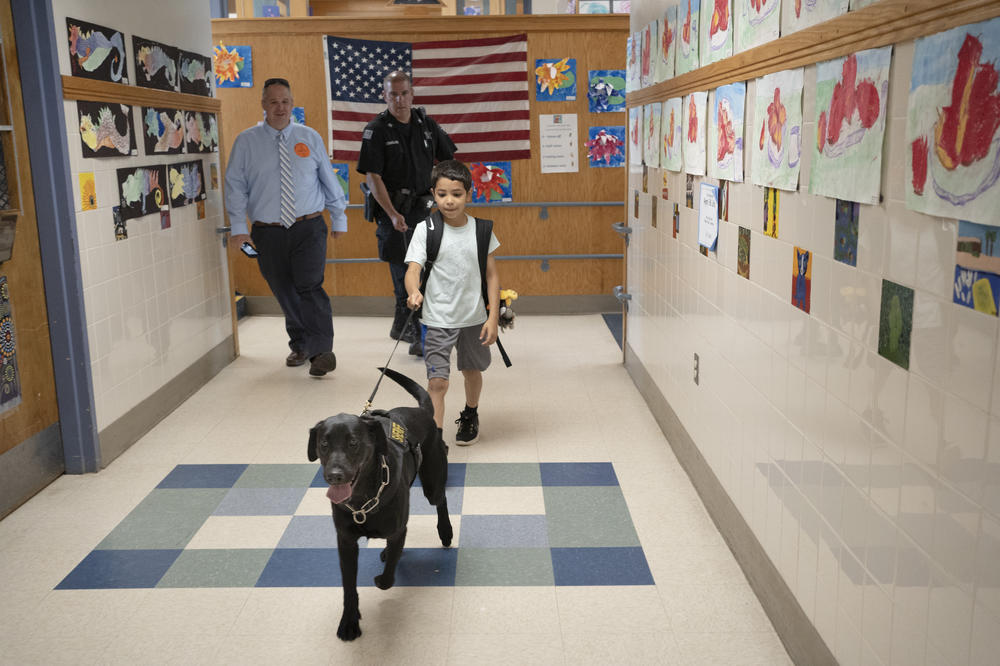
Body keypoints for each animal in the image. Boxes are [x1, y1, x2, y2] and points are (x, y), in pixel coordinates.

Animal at [306, 366, 456, 640]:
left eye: (353, 443)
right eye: (324, 443)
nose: (334, 475)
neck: (363, 499)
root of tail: (421, 410)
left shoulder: (397, 530)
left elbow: (387, 579)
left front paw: (380, 579)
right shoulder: (345, 542)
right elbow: (349, 588)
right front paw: (349, 621)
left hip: (432, 482)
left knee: (441, 500)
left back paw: (446, 531)